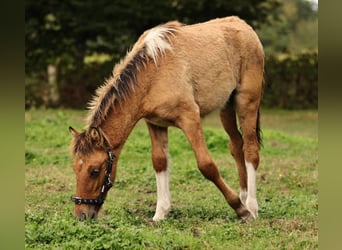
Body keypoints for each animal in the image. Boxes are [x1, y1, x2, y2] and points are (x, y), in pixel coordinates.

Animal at [68, 16, 264, 222]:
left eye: (94, 171)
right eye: (75, 169)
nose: (81, 214)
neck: (153, 72)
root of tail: (243, 26)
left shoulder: (190, 119)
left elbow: (207, 165)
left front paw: (239, 208)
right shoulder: (155, 123)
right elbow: (160, 162)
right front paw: (160, 213)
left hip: (246, 103)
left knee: (251, 149)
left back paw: (250, 206)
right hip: (226, 108)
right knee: (237, 145)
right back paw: (244, 196)